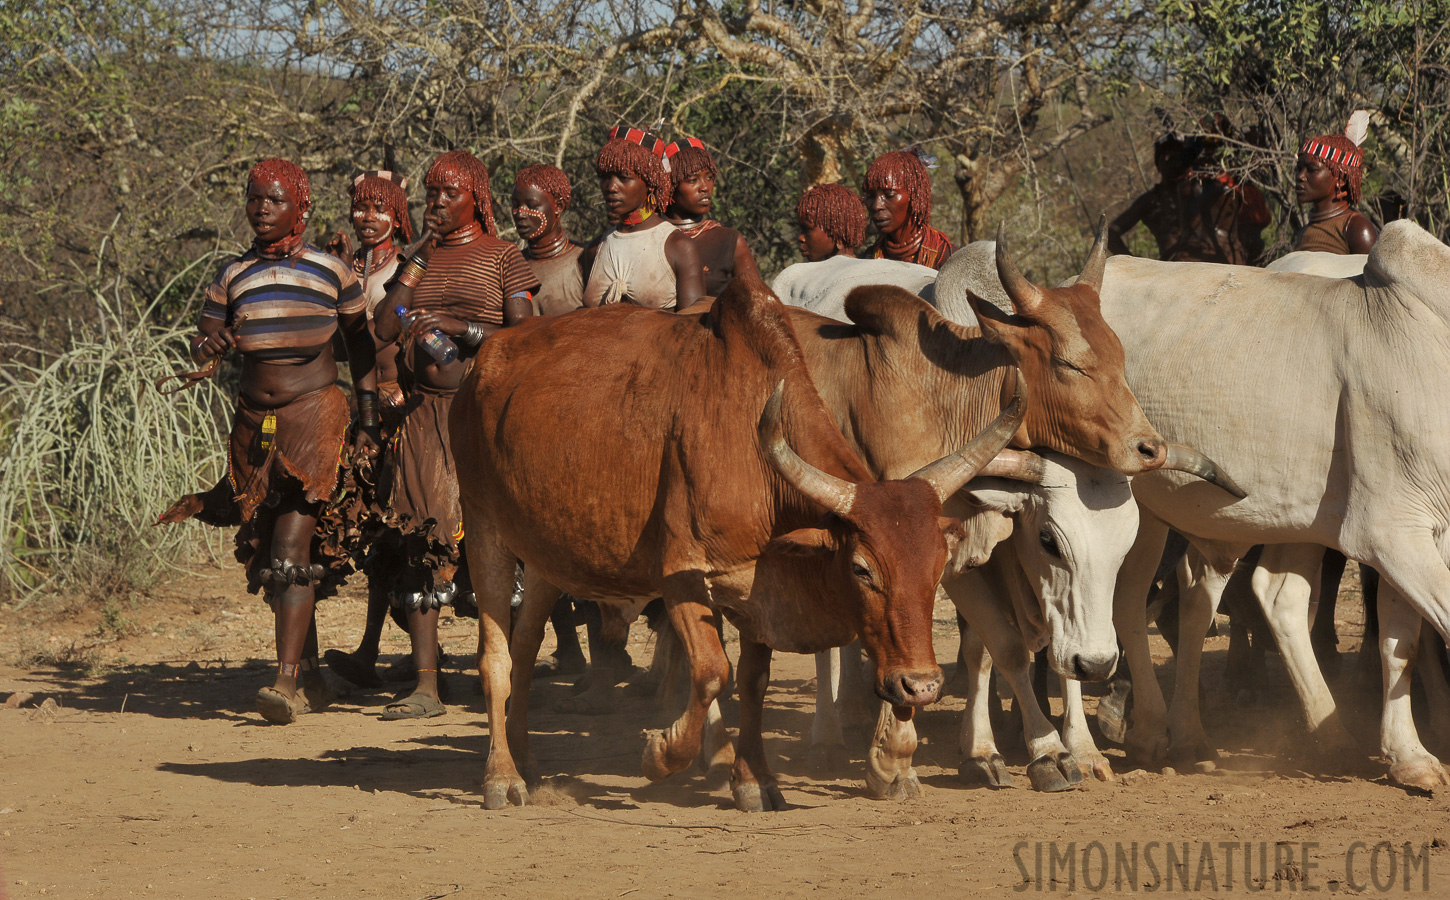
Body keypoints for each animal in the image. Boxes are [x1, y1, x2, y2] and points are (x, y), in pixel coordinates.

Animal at [446, 272, 1026, 805]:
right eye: (862, 568)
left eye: (937, 568)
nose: (921, 685)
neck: (750, 449)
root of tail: (483, 362)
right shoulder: (681, 576)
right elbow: (710, 673)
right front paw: (662, 754)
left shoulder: (757, 586)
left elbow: (753, 681)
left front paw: (755, 780)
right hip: (485, 531)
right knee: (495, 660)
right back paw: (501, 777)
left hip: (545, 555)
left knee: (523, 647)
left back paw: (524, 758)